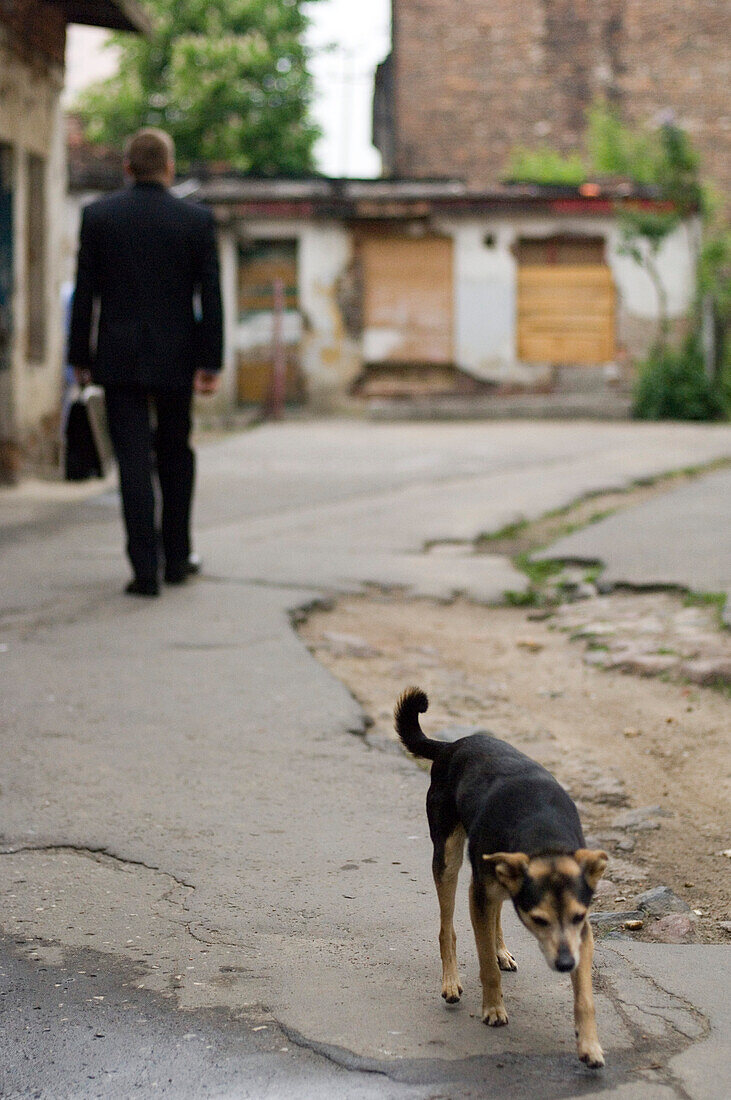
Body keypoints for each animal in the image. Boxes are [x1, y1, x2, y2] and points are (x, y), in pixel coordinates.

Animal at [395, 682, 606, 1069]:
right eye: (538, 920)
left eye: (576, 916)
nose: (565, 963)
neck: (544, 838)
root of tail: (453, 745)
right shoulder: (479, 892)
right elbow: (484, 967)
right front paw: (493, 1009)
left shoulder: (581, 931)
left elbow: (585, 995)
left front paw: (590, 1046)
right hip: (448, 857)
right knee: (447, 928)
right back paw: (451, 983)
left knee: (493, 919)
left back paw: (501, 951)